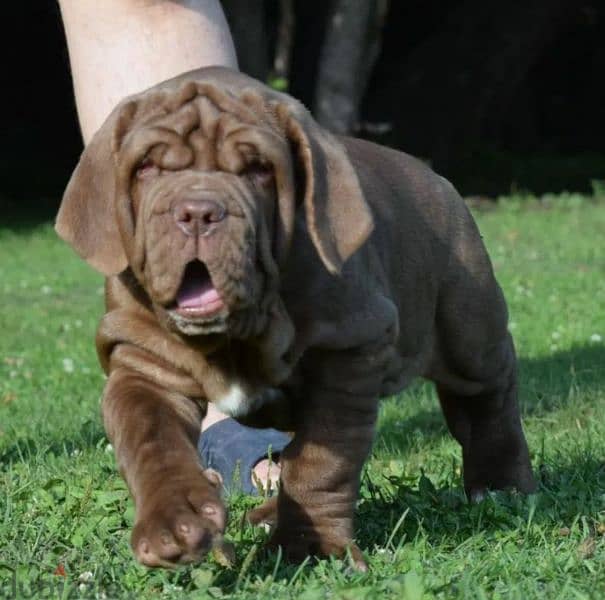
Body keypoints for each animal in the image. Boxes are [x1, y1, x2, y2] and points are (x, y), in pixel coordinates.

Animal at [56, 65, 536, 568]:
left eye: (259, 170)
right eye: (147, 167)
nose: (198, 212)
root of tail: (437, 178)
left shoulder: (349, 356)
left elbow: (321, 463)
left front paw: (310, 545)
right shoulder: (144, 365)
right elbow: (152, 441)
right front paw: (175, 520)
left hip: (467, 329)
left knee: (489, 394)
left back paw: (500, 483)